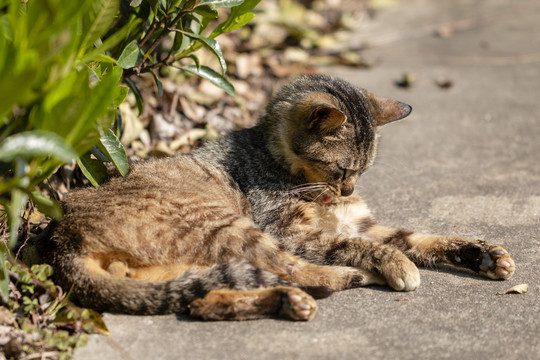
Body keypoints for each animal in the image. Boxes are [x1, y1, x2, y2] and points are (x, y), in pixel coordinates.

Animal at [39, 74, 516, 320]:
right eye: (343, 169)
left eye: (362, 172)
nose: (350, 189)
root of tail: (63, 238)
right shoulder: (294, 232)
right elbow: (359, 245)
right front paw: (396, 264)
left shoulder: (364, 222)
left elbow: (418, 238)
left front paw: (480, 253)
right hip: (227, 226)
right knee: (291, 268)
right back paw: (339, 279)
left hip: (182, 266)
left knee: (201, 300)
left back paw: (284, 300)